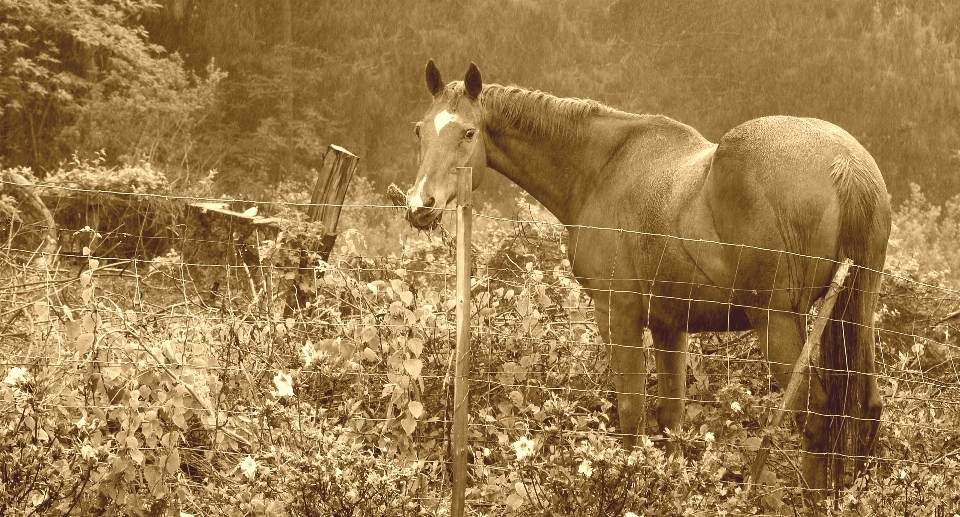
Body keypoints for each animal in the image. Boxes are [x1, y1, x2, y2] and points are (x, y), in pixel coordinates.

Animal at [402, 58, 888, 494]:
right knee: (865, 410)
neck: (603, 168)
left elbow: (631, 413)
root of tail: (845, 163)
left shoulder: (619, 316)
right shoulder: (671, 326)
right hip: (854, 312)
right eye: (420, 131)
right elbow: (671, 418)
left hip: (778, 322)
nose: (420, 205)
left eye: (468, 133)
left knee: (817, 414)